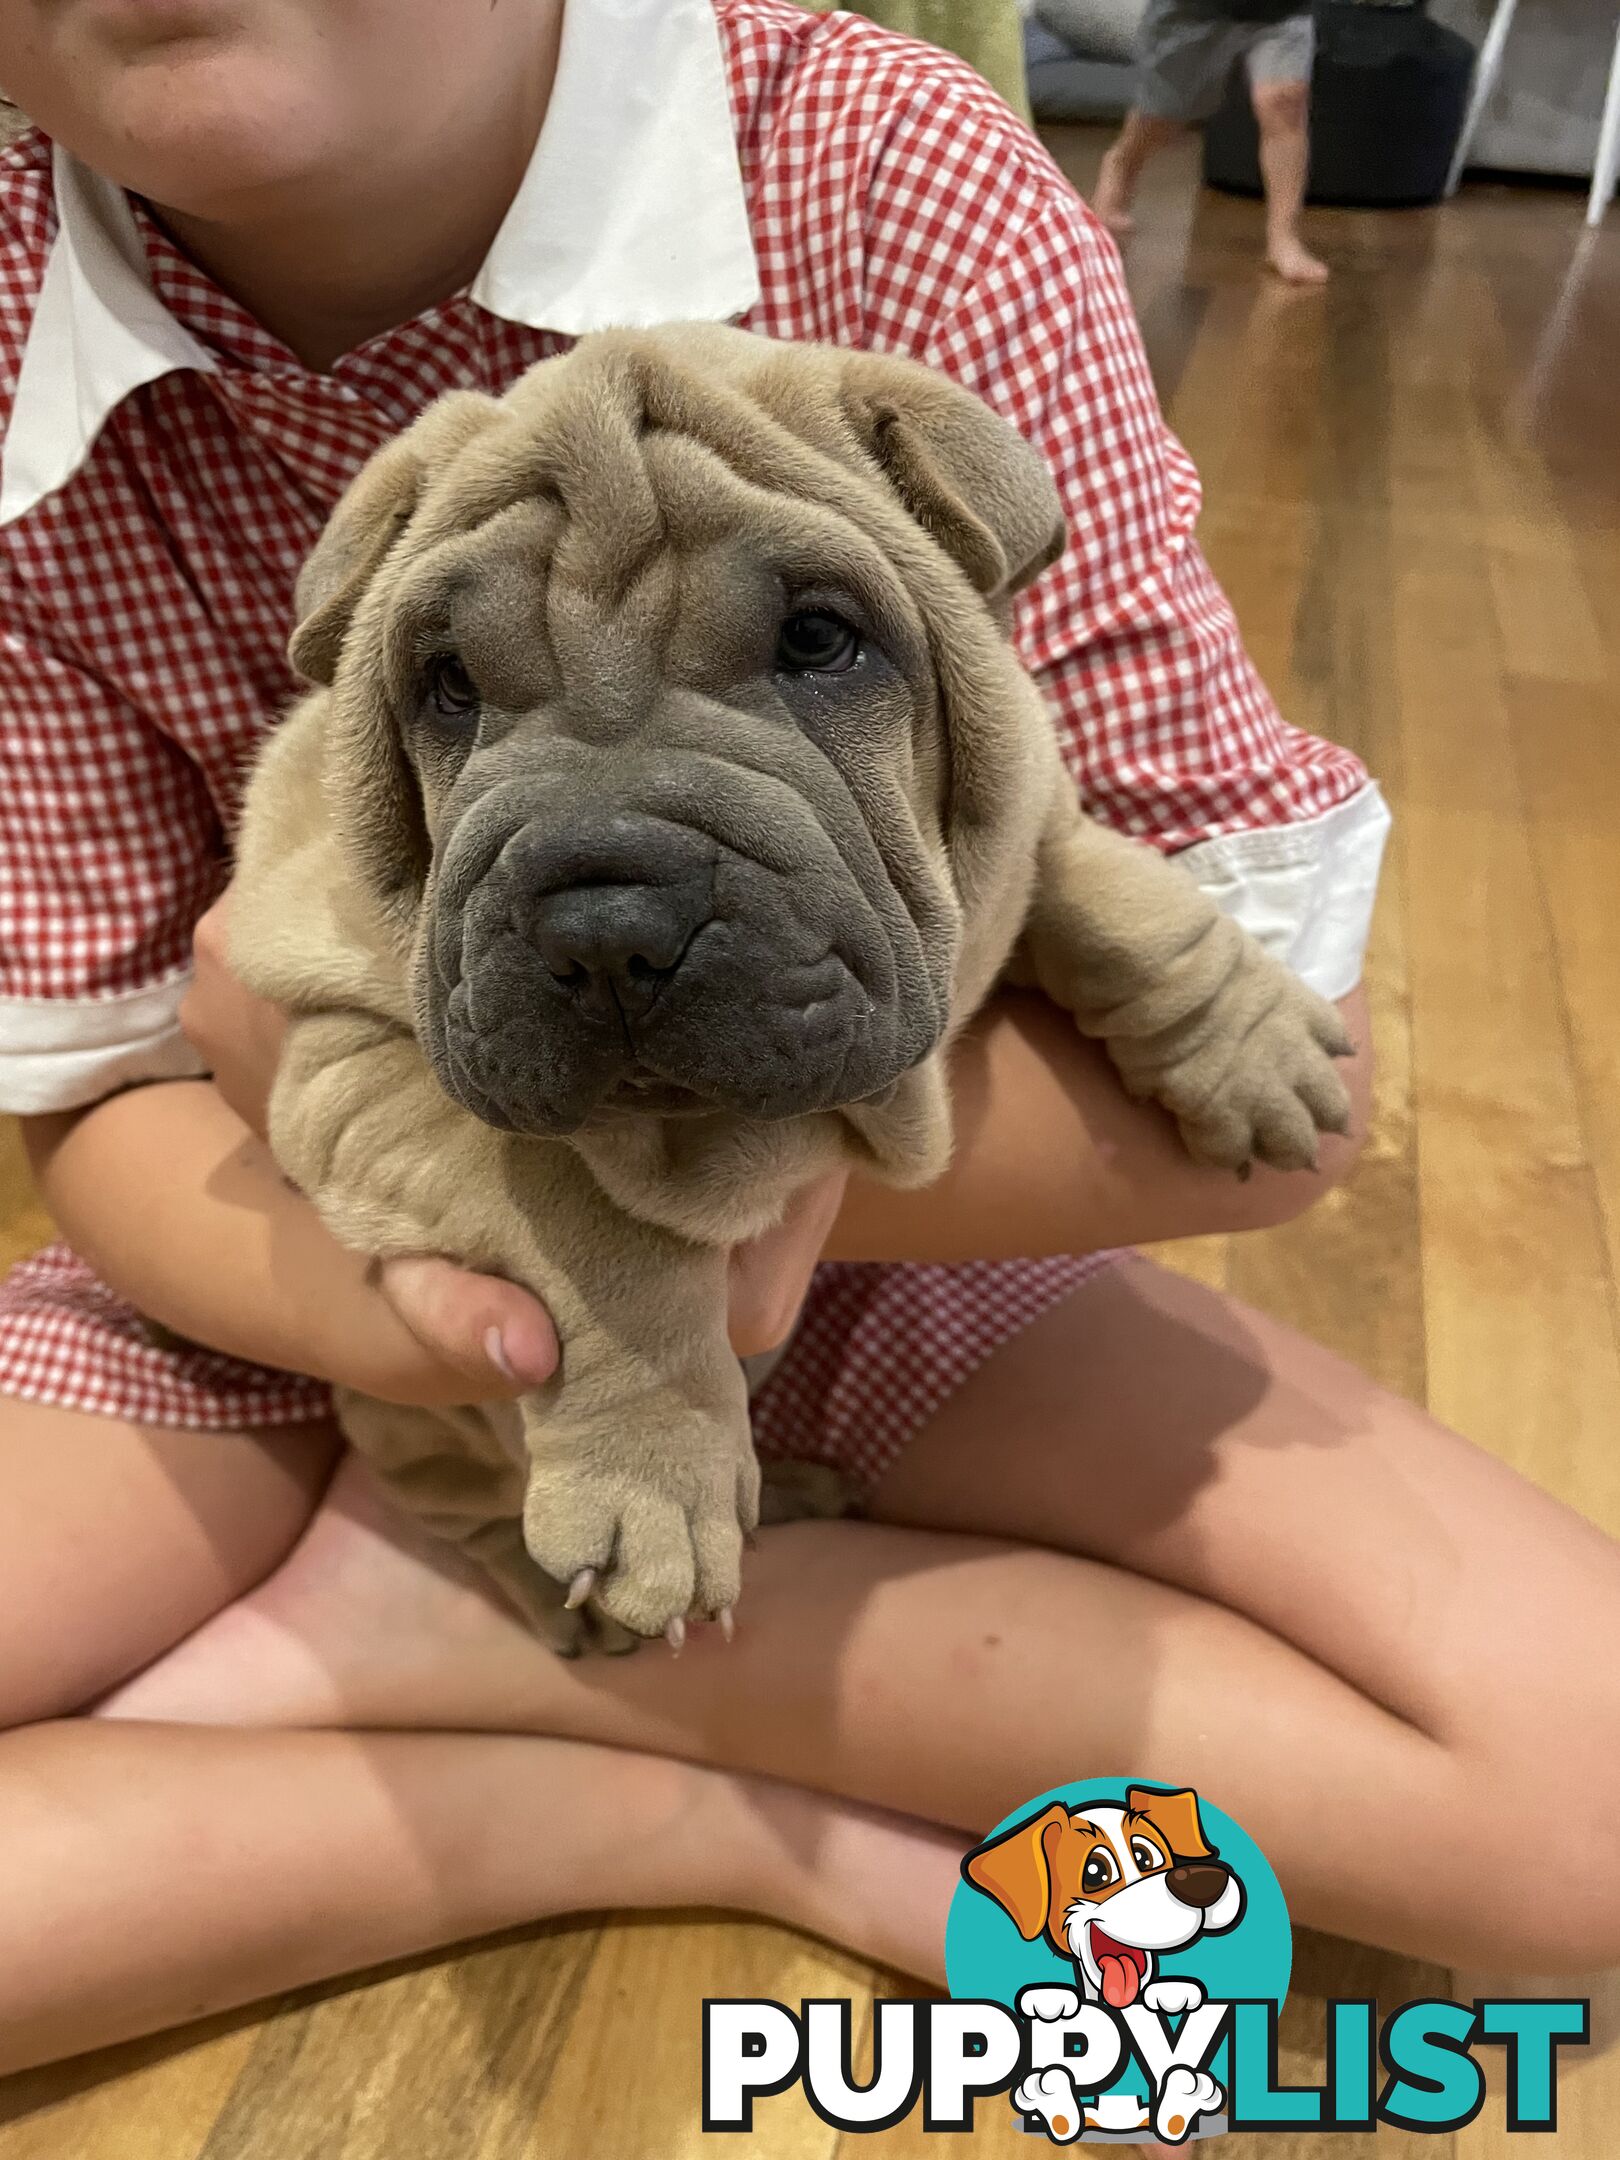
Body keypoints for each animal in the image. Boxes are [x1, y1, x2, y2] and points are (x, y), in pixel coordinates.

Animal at [231, 319, 1356, 1641]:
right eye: (448, 685)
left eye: (818, 641)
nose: (606, 922)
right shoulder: (355, 1072)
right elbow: (589, 1218)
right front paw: (651, 1479)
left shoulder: (1014, 819)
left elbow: (1109, 885)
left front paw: (1252, 1038)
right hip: (408, 1420)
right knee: (453, 1502)